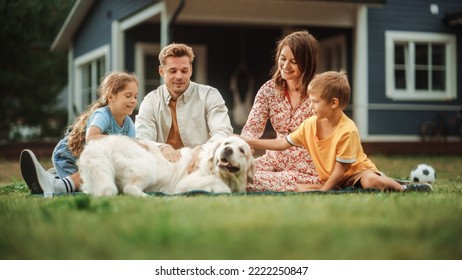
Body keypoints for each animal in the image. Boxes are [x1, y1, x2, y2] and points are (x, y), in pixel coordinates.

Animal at [77, 134, 254, 196]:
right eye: (226, 143)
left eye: (242, 150)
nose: (227, 150)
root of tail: (100, 144)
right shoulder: (185, 184)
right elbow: (217, 183)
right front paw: (222, 189)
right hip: (148, 168)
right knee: (129, 189)